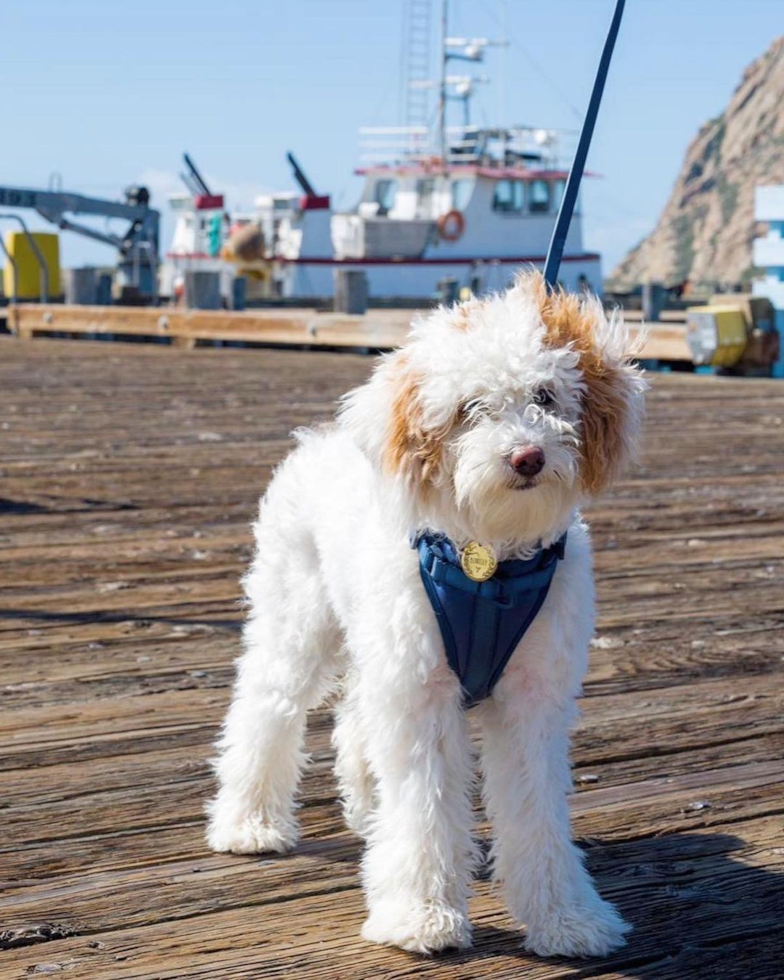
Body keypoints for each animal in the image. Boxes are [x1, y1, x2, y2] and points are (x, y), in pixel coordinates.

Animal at [205, 272, 648, 960]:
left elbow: (536, 813)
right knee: (264, 711)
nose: (527, 457)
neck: (489, 564)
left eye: (546, 395)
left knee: (355, 721)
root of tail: (321, 440)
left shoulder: (532, 701)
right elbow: (425, 808)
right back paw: (248, 822)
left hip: (377, 644)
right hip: (299, 625)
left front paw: (566, 918)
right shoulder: (423, 695)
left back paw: (365, 808)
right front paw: (420, 915)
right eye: (470, 408)